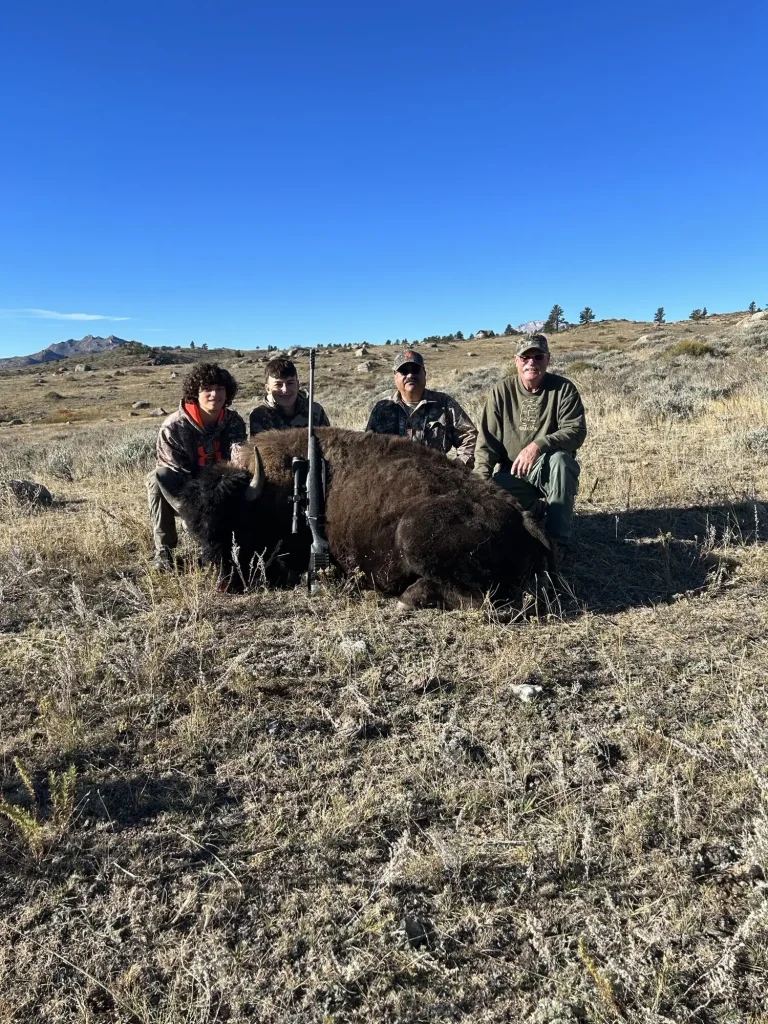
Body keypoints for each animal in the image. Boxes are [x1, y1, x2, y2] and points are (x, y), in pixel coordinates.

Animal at [179, 427, 553, 609]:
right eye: (196, 530)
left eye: (237, 525)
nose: (225, 582)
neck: (272, 489)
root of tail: (522, 516)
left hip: (411, 536)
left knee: (488, 604)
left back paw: (405, 599)